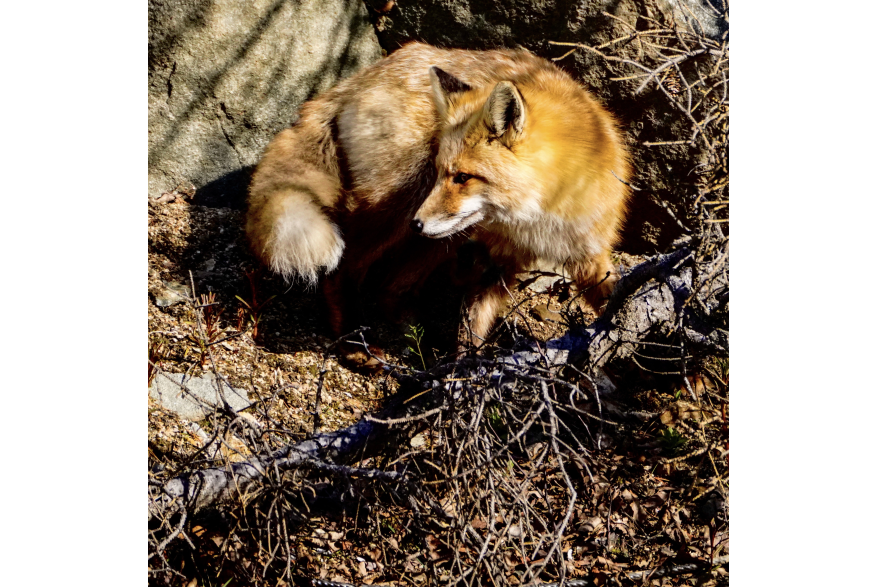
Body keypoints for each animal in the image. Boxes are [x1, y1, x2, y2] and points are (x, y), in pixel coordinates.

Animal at [246, 42, 628, 358]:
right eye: (442, 170)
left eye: (462, 177)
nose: (417, 223)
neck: (536, 218)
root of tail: (358, 78)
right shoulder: (490, 254)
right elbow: (470, 330)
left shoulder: (571, 255)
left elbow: (613, 301)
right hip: (402, 205)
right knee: (342, 270)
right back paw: (355, 345)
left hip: (438, 236)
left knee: (389, 289)